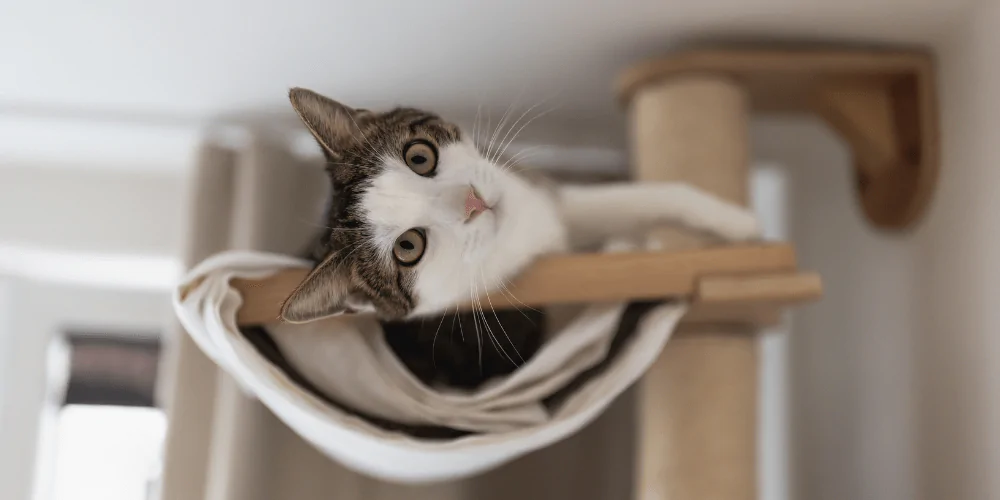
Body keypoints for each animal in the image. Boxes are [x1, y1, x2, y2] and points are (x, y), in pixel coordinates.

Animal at [278, 88, 752, 388]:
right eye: (408, 247)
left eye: (419, 156)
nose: (471, 202)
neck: (514, 234)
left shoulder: (539, 196)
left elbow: (636, 197)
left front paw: (735, 221)